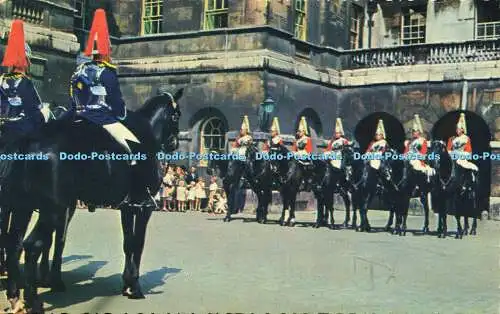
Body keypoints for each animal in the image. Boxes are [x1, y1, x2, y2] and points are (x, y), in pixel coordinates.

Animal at [0, 89, 184, 314]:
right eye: (176, 115)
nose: (174, 143)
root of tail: (28, 141)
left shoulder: (127, 207)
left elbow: (128, 243)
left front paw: (127, 284)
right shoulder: (144, 208)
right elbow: (137, 244)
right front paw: (135, 287)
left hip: (23, 207)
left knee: (14, 244)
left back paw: (15, 297)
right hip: (51, 209)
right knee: (32, 245)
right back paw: (33, 301)